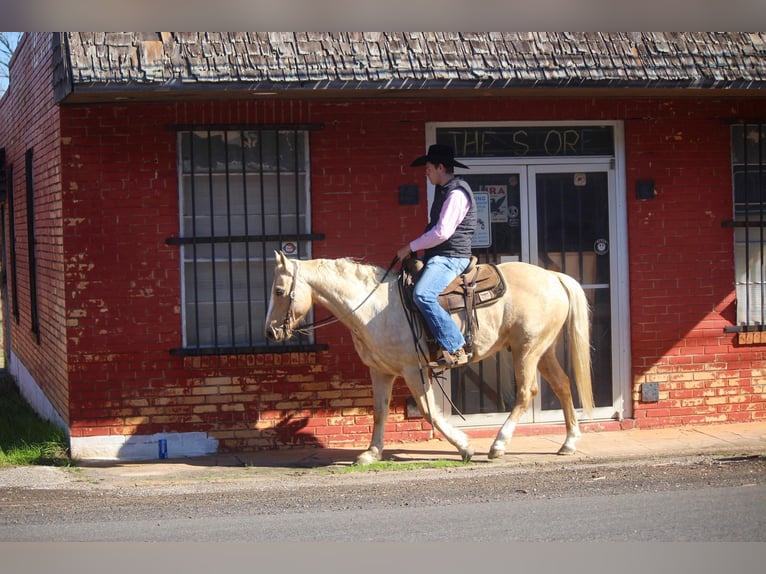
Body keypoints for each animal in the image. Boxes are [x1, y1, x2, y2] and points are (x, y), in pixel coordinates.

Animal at [268, 253, 596, 468]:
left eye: (279, 290)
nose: (271, 332)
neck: (374, 307)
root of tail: (554, 276)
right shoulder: (380, 371)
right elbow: (379, 412)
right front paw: (370, 453)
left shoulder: (413, 370)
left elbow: (429, 412)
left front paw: (464, 446)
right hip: (542, 350)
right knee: (563, 385)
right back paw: (568, 443)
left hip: (526, 349)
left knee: (526, 393)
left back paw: (498, 445)